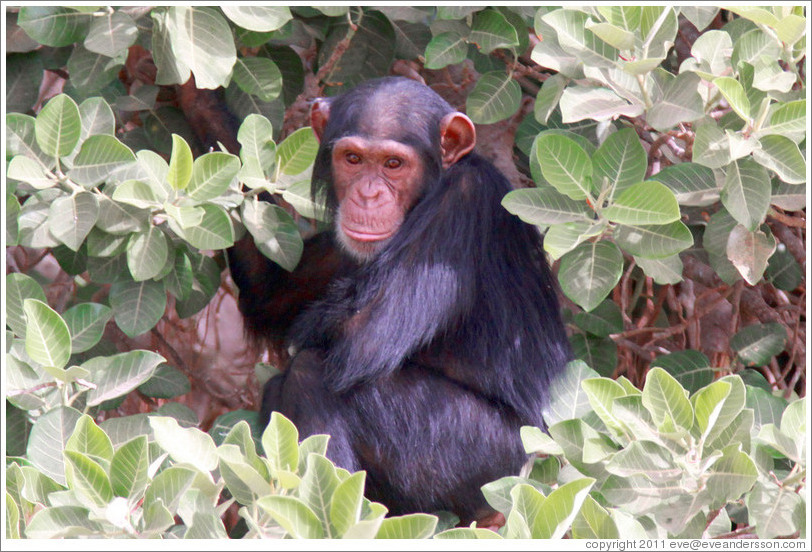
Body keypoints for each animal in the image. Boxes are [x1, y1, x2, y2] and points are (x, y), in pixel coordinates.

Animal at [227, 76, 572, 520]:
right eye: (353, 159)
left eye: (393, 164)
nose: (369, 195)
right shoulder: (341, 248)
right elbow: (267, 293)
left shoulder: (462, 204)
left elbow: (361, 335)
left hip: (472, 457)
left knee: (311, 372)